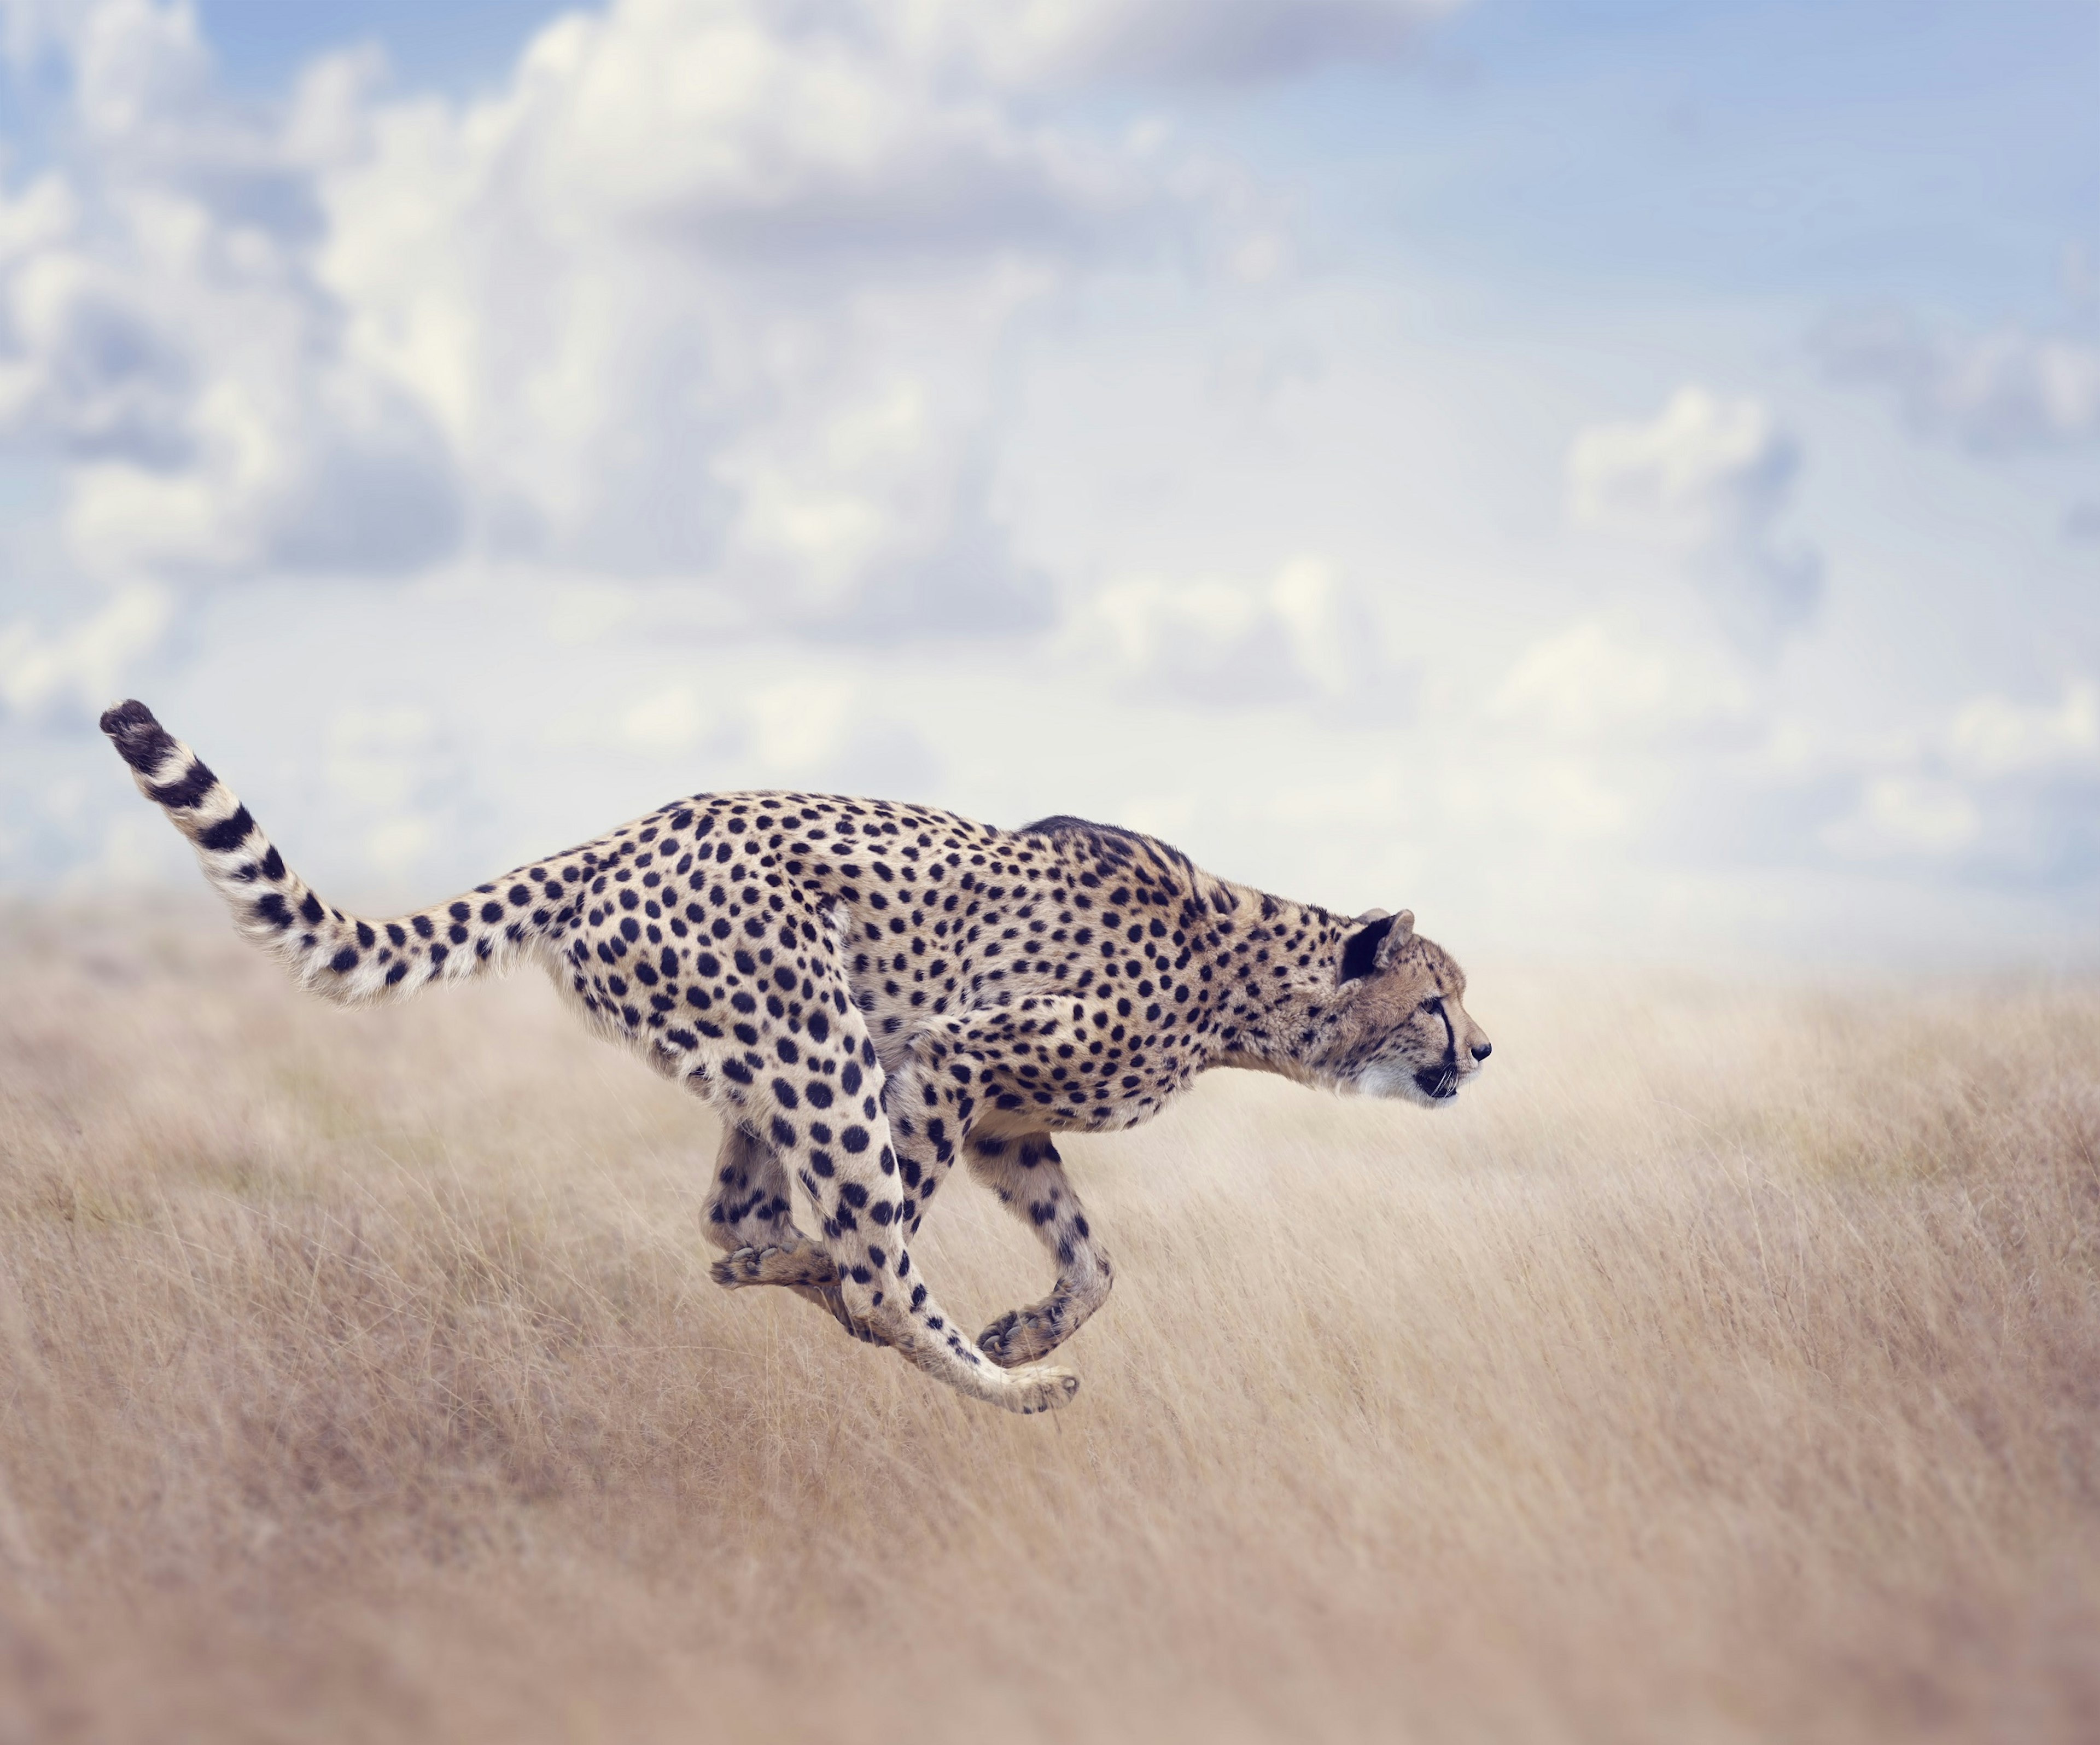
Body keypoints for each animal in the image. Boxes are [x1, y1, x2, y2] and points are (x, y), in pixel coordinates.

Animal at [102, 701, 1495, 1411]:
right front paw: (993, 1339)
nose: (1483, 1049)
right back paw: (991, 1380)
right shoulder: (950, 1053)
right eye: (1437, 998)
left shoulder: (1007, 1116)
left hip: (764, 1059)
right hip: (825, 1044)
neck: (1243, 978)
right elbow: (892, 1234)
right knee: (859, 1248)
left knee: (729, 1220)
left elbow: (1092, 1256)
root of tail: (619, 835)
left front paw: (1030, 1318)